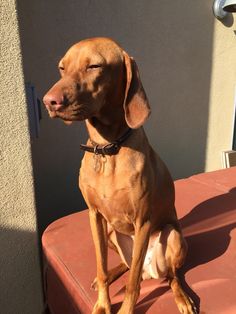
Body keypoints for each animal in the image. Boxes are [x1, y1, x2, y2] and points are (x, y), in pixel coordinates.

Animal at [43, 37, 196, 314]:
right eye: (61, 68)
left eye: (94, 66)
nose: (49, 101)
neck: (107, 149)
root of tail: (151, 270)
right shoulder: (95, 216)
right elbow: (101, 267)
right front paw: (103, 303)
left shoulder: (143, 221)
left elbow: (134, 283)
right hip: (112, 233)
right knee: (127, 265)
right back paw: (112, 274)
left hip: (173, 236)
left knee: (170, 276)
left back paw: (182, 297)